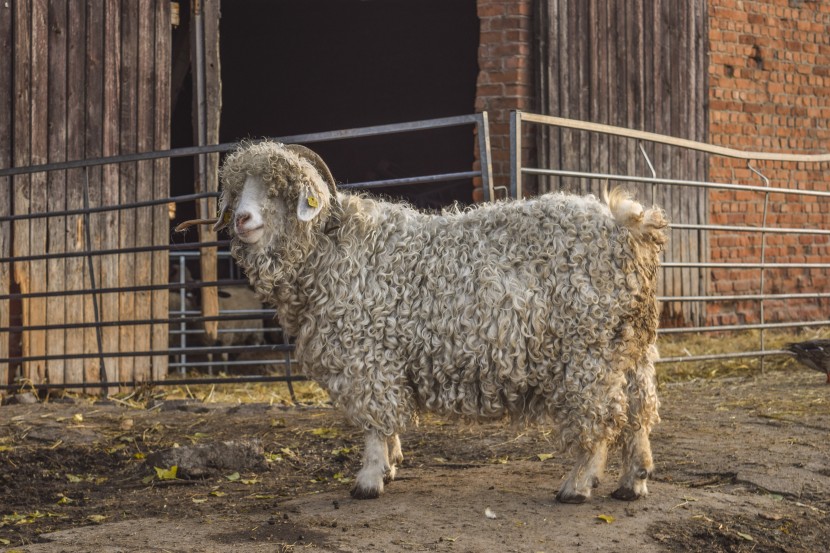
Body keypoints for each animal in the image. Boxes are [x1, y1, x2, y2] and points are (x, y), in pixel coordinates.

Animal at [210, 140, 668, 502]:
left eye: (281, 191)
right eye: (236, 189)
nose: (242, 220)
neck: (334, 249)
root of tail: (630, 227)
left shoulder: (367, 355)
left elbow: (375, 422)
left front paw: (368, 480)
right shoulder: (387, 360)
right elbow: (388, 421)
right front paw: (391, 465)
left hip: (587, 353)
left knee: (601, 418)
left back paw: (577, 485)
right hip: (631, 348)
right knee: (639, 411)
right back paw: (633, 482)